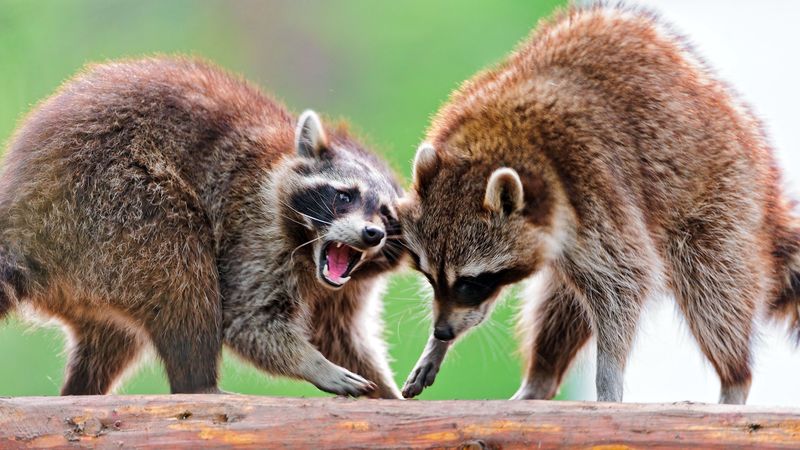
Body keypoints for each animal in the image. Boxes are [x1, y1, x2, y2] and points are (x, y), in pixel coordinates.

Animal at [0, 57, 404, 398]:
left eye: (387, 215)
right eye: (345, 196)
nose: (372, 234)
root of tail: (20, 217)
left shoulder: (348, 286)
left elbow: (339, 336)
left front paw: (388, 392)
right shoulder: (256, 228)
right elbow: (249, 321)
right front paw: (314, 363)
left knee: (114, 336)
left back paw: (83, 390)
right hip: (111, 203)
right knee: (183, 271)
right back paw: (197, 383)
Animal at [399, 5, 800, 404]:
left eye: (472, 281)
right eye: (430, 277)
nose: (443, 331)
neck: (497, 137)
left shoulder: (593, 186)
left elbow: (627, 278)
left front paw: (609, 375)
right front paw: (436, 347)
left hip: (721, 197)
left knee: (715, 293)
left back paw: (735, 376)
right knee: (560, 307)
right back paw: (540, 377)